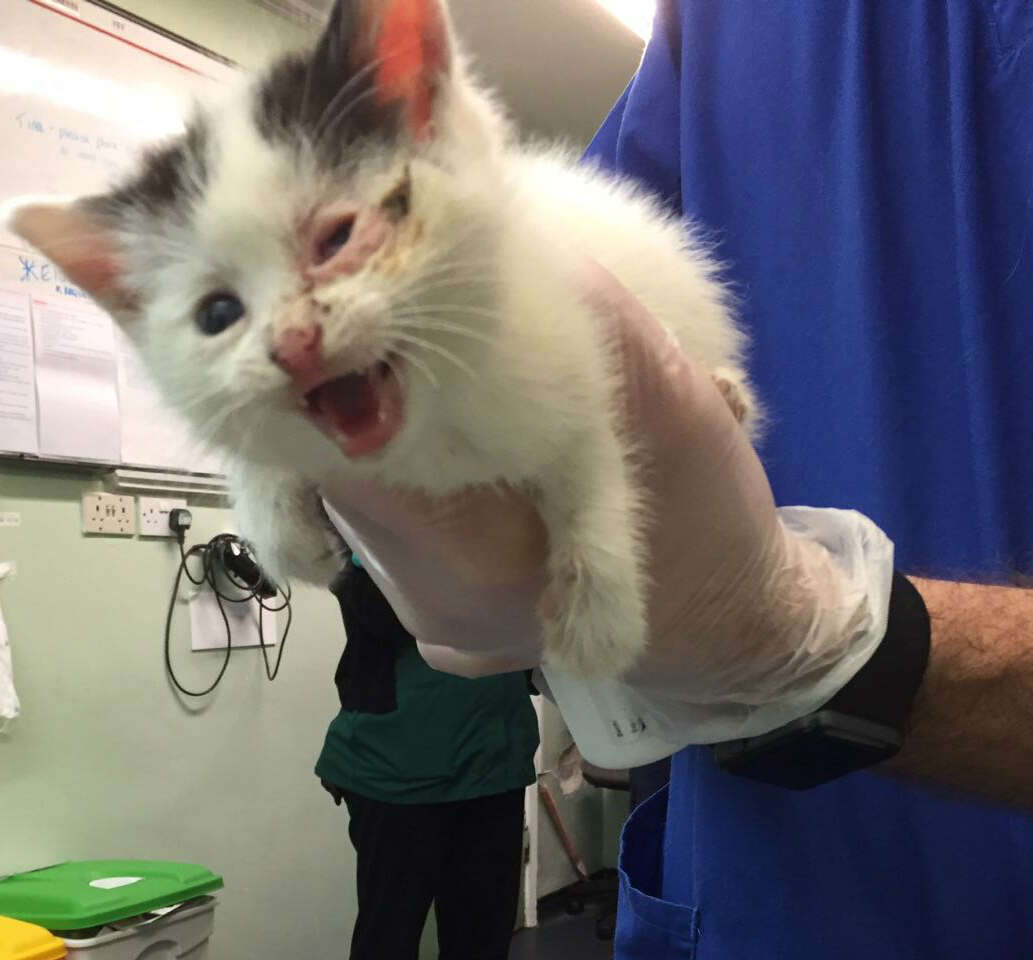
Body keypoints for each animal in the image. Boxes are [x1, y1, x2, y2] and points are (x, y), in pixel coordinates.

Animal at [4, 0, 756, 673]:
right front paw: (279, 524)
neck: (430, 435)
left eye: (338, 237)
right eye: (216, 315)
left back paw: (725, 391)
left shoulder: (566, 338)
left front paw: (598, 610)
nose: (294, 343)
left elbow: (592, 456)